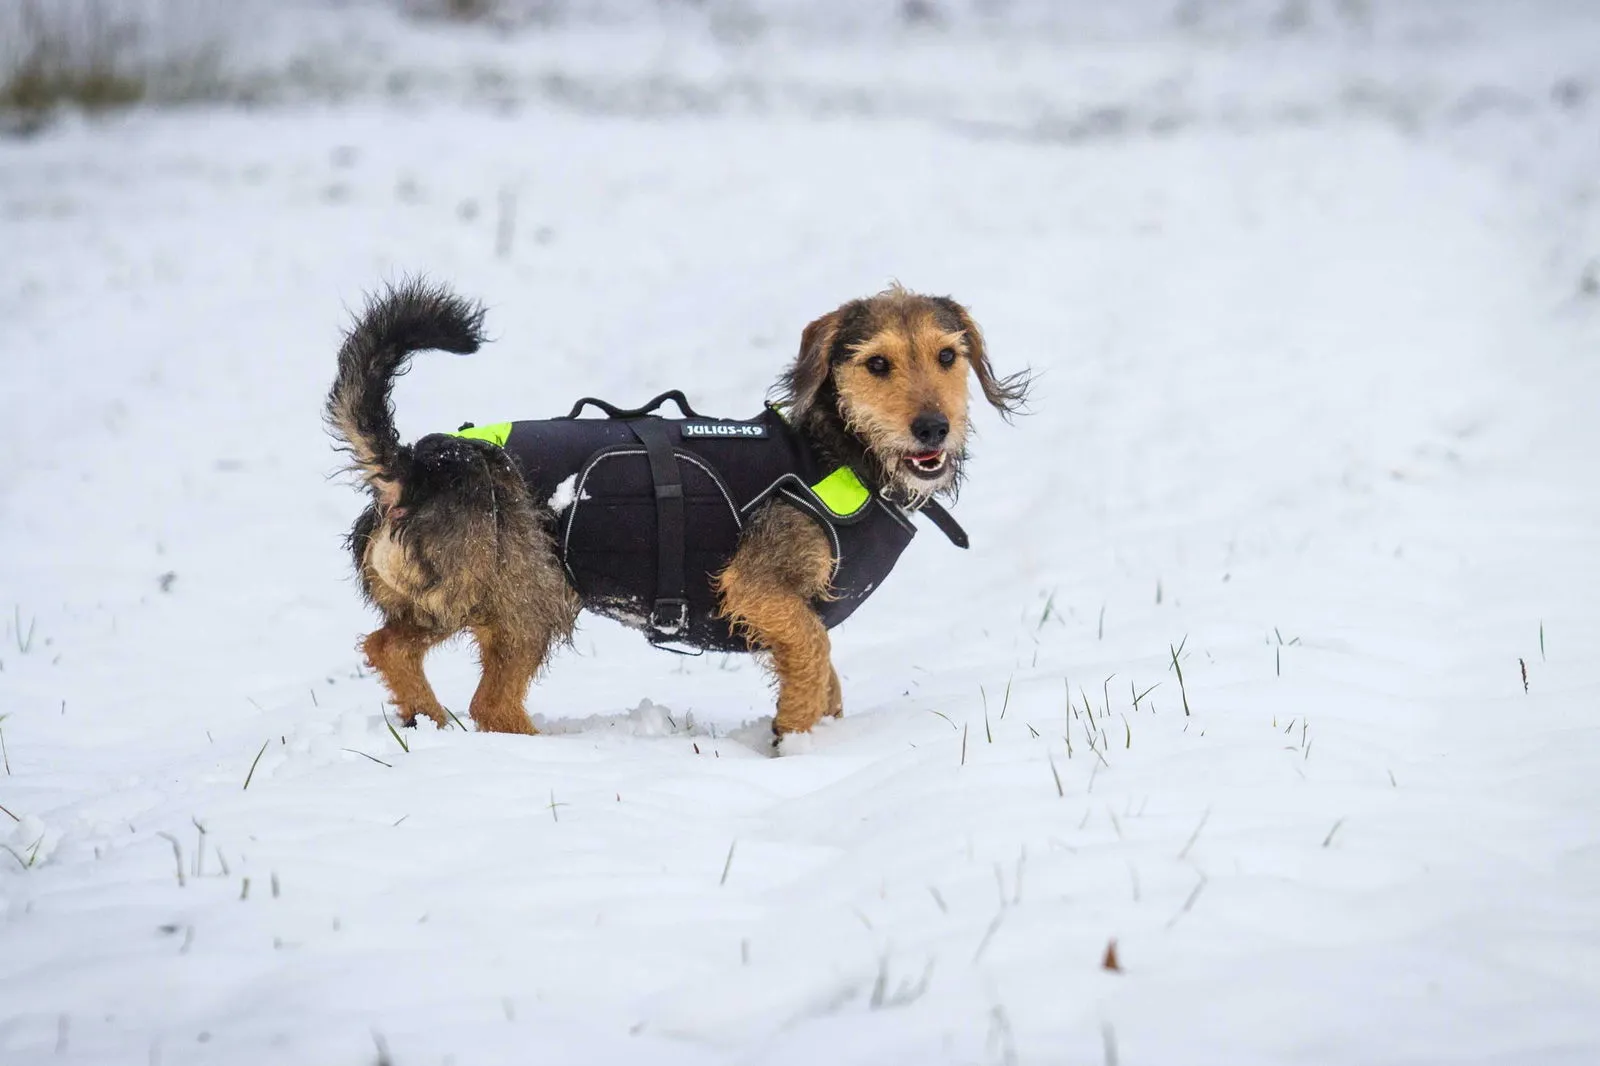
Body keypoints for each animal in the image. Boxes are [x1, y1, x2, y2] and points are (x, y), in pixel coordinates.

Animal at [324, 280, 1024, 739]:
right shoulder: (758, 586)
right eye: (877, 363)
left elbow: (826, 672)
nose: (933, 428)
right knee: (491, 703)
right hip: (535, 593)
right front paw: (793, 736)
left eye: (948, 356)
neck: (840, 449)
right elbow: (814, 647)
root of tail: (418, 468)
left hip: (450, 596)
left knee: (388, 645)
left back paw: (430, 724)